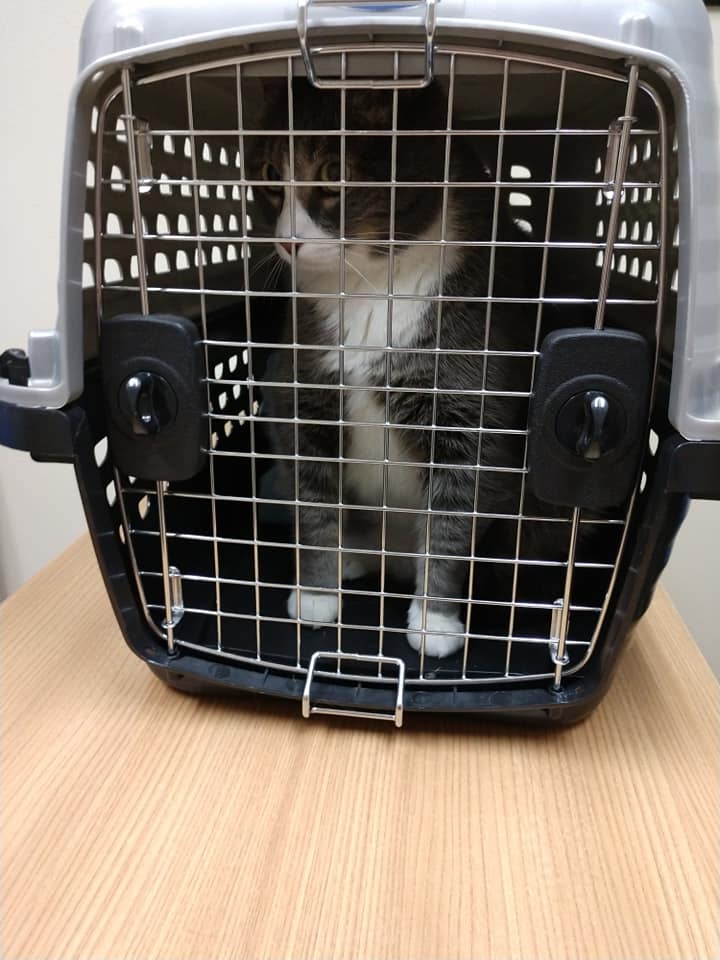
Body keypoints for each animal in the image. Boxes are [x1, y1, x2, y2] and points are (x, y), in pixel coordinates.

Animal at [248, 79, 547, 658]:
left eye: (333, 174)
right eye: (271, 175)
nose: (287, 240)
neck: (367, 284)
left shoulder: (465, 413)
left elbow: (452, 516)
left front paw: (435, 624)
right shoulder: (304, 395)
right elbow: (314, 501)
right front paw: (316, 596)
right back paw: (353, 559)